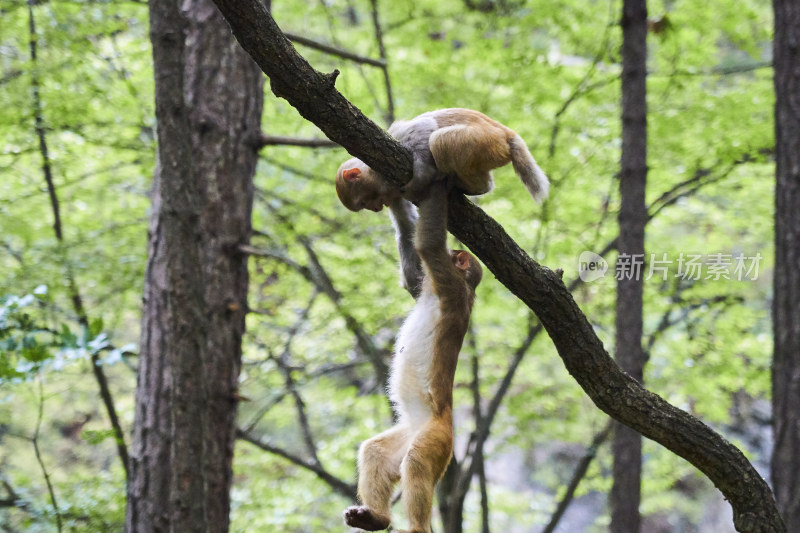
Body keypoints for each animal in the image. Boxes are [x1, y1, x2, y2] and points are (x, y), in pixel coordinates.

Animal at [332, 107, 552, 211]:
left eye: (363, 203)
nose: (377, 209)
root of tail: (506, 133)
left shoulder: (399, 135)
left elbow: (424, 128)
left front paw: (423, 173)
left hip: (484, 141)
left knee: (439, 140)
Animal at [344, 183, 482, 532]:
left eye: (455, 255)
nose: (456, 252)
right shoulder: (431, 283)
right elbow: (411, 276)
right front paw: (395, 198)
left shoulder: (447, 283)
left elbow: (428, 245)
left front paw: (437, 187)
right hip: (406, 437)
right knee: (376, 452)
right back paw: (376, 517)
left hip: (436, 440)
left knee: (418, 463)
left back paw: (416, 526)